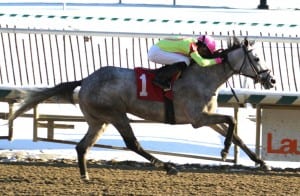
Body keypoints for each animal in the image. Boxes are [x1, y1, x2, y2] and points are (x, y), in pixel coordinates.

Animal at [9, 36, 276, 180]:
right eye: (257, 58)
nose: (271, 80)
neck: (204, 76)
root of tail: (85, 80)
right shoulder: (198, 118)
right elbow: (232, 122)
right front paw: (223, 152)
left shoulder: (206, 116)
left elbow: (236, 132)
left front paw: (261, 163)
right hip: (115, 114)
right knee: (132, 143)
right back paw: (168, 167)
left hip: (99, 120)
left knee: (82, 146)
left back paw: (85, 176)